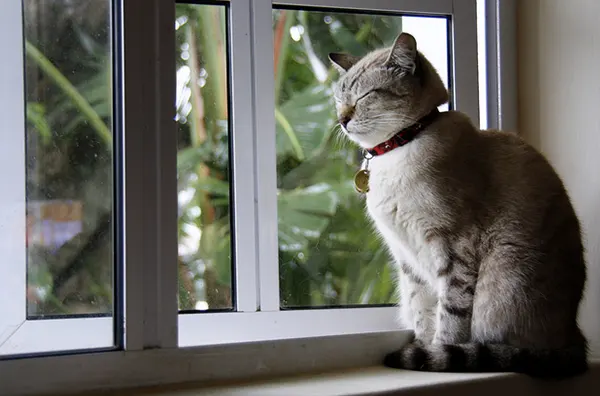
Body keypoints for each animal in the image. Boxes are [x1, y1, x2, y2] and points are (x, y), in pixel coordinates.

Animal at [328, 32, 584, 376]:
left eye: (365, 96)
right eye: (338, 99)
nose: (342, 119)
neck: (398, 149)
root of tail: (576, 335)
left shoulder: (453, 247)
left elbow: (450, 320)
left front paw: (434, 354)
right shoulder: (408, 258)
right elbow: (423, 313)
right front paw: (423, 348)